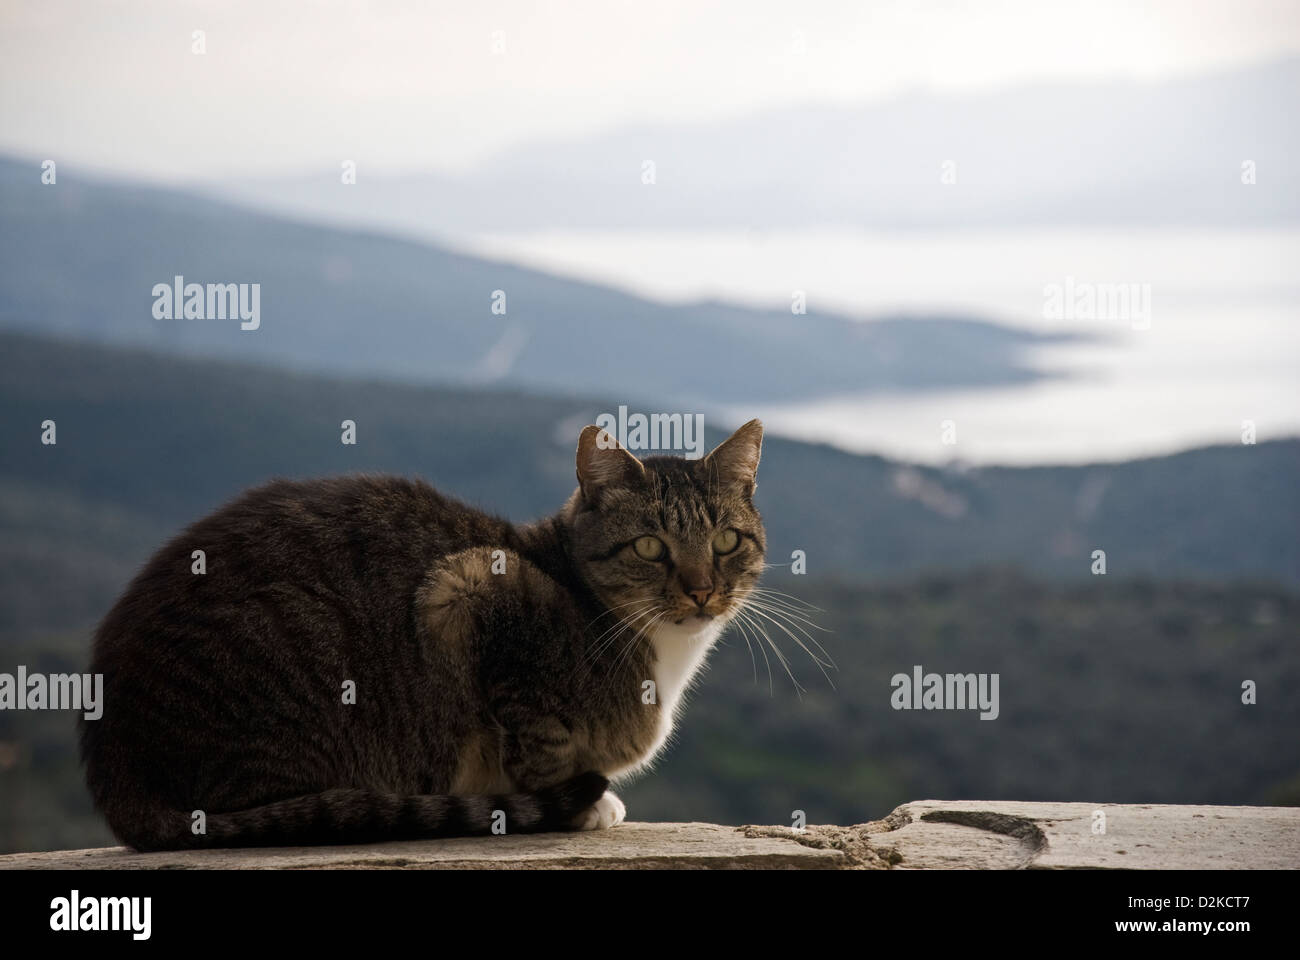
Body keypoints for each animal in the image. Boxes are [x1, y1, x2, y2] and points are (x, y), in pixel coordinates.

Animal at [81, 416, 764, 842]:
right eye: (650, 546)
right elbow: (538, 744)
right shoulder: (470, 588)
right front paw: (582, 803)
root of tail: (116, 768)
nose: (702, 590)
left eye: (726, 541)